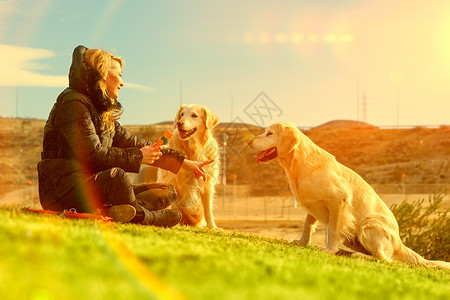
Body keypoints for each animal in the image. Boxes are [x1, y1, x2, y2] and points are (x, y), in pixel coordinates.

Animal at [248, 122, 448, 270]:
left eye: (270, 133)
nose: (249, 142)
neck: (299, 163)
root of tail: (399, 242)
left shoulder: (339, 200)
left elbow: (332, 230)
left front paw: (329, 250)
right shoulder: (313, 203)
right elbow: (307, 225)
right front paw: (301, 242)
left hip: (367, 225)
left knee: (384, 258)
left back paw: (356, 255)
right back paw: (348, 252)